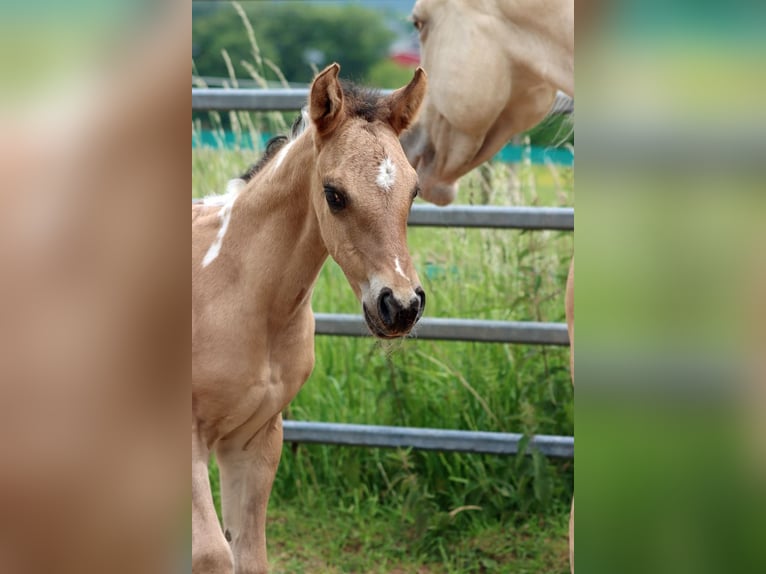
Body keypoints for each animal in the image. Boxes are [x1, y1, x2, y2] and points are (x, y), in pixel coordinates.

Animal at [192, 63, 427, 574]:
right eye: (334, 194)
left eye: (414, 190)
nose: (400, 305)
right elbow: (211, 555)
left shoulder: (253, 441)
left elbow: (249, 556)